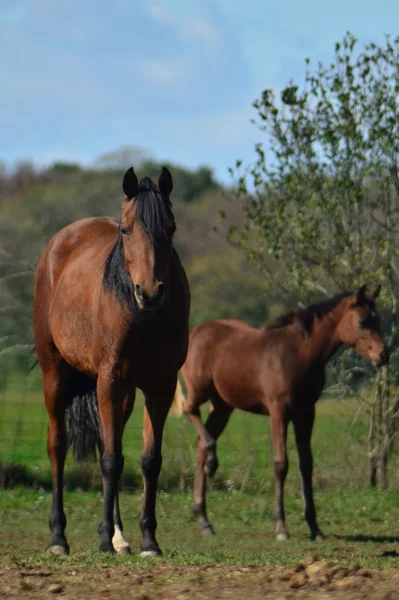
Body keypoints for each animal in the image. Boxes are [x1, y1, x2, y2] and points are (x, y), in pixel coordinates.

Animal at [33, 165, 190, 556]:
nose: (149, 293)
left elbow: (149, 460)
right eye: (125, 230)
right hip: (55, 375)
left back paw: (121, 537)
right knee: (57, 446)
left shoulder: (160, 385)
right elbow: (110, 460)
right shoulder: (110, 379)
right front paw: (103, 538)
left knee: (109, 439)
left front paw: (148, 540)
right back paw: (59, 538)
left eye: (170, 227)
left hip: (125, 394)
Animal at [177, 284, 390, 540]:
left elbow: (306, 466)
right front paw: (281, 526)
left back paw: (204, 519)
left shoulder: (306, 412)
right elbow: (281, 464)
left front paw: (314, 528)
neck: (298, 354)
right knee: (189, 411)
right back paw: (212, 463)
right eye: (361, 321)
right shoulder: (278, 410)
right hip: (200, 390)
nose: (383, 355)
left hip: (222, 405)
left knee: (200, 443)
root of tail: (195, 332)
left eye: (378, 320)